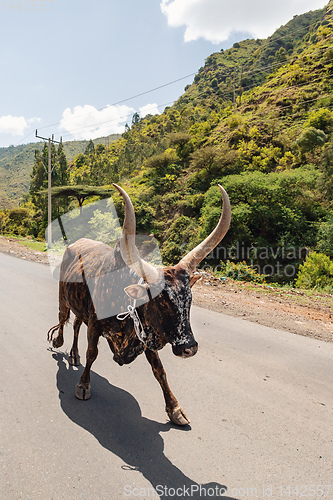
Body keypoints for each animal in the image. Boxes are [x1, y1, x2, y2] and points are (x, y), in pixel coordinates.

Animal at [48, 185, 231, 426]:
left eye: (189, 299)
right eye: (161, 301)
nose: (189, 348)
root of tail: (74, 245)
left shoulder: (147, 335)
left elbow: (159, 371)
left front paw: (175, 409)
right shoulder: (96, 326)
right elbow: (92, 353)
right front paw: (83, 384)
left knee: (77, 324)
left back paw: (73, 354)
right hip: (63, 298)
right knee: (63, 320)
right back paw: (60, 343)